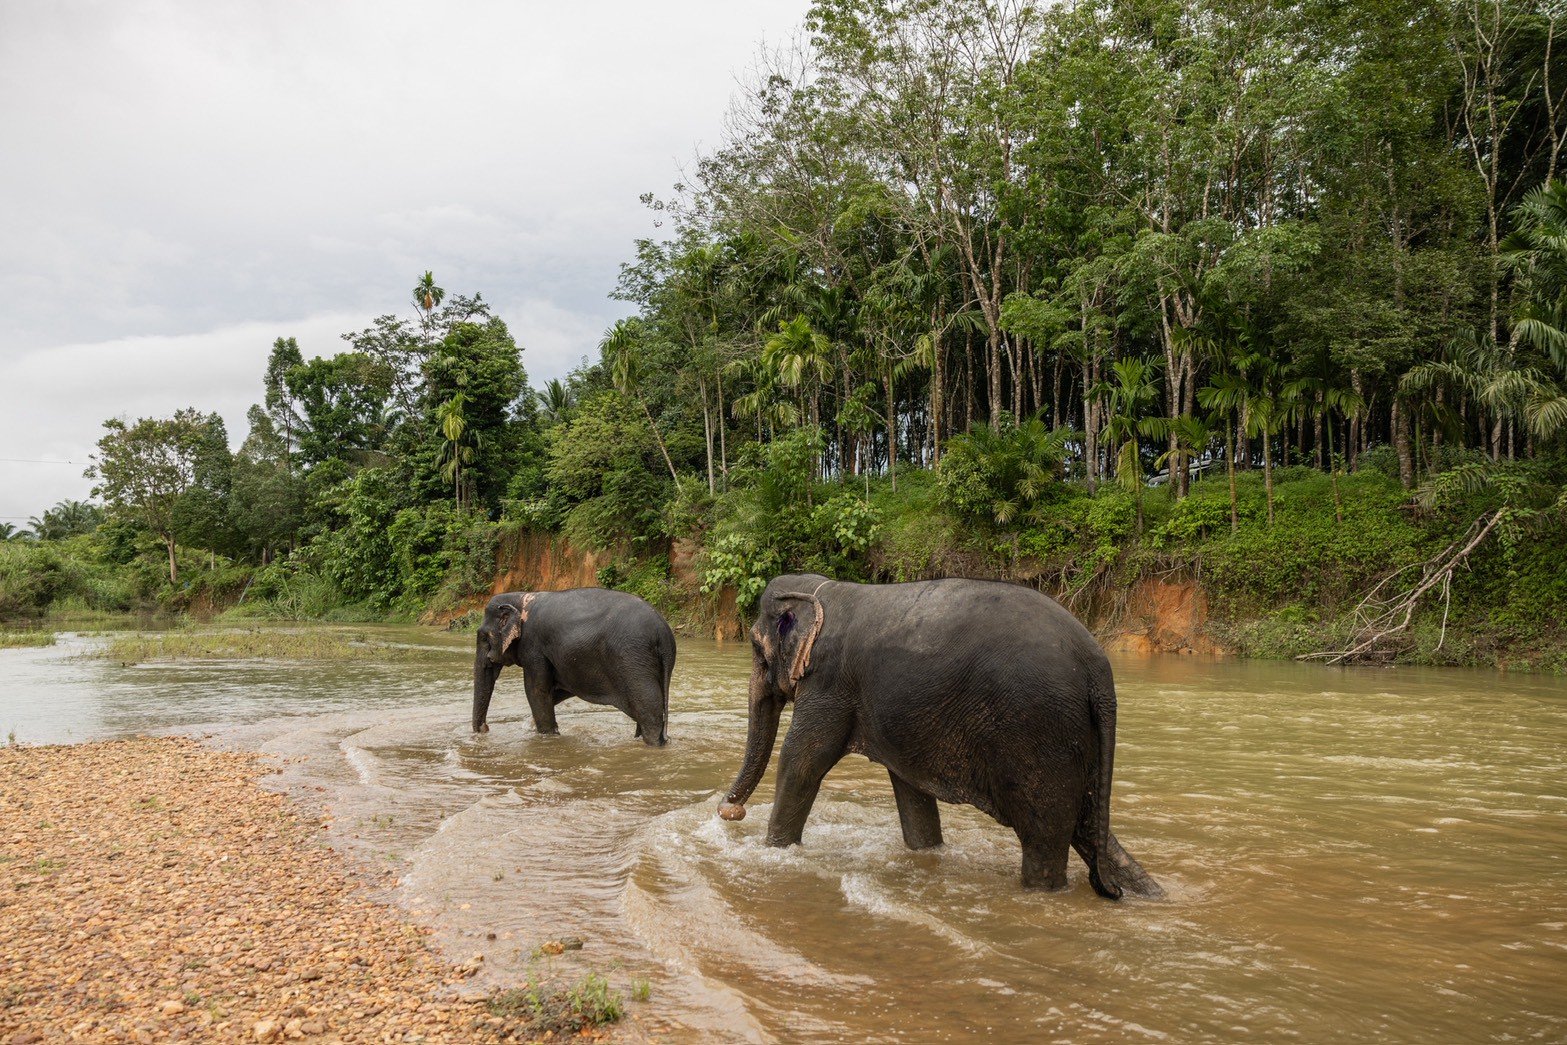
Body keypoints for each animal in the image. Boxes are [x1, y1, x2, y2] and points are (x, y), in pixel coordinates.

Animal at [471, 588, 676, 745]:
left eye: (484, 637)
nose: (485, 728)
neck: (521, 597)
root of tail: (664, 634)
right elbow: (558, 690)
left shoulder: (533, 647)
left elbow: (536, 691)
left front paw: (547, 736)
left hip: (633, 660)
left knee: (649, 710)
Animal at [717, 574, 1162, 898]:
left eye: (755, 647)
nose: (729, 810)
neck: (824, 588)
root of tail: (1098, 668)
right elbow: (910, 790)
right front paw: (928, 853)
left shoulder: (828, 682)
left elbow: (802, 762)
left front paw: (773, 852)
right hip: (1076, 736)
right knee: (1089, 828)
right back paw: (1146, 893)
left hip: (1040, 733)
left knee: (1046, 835)